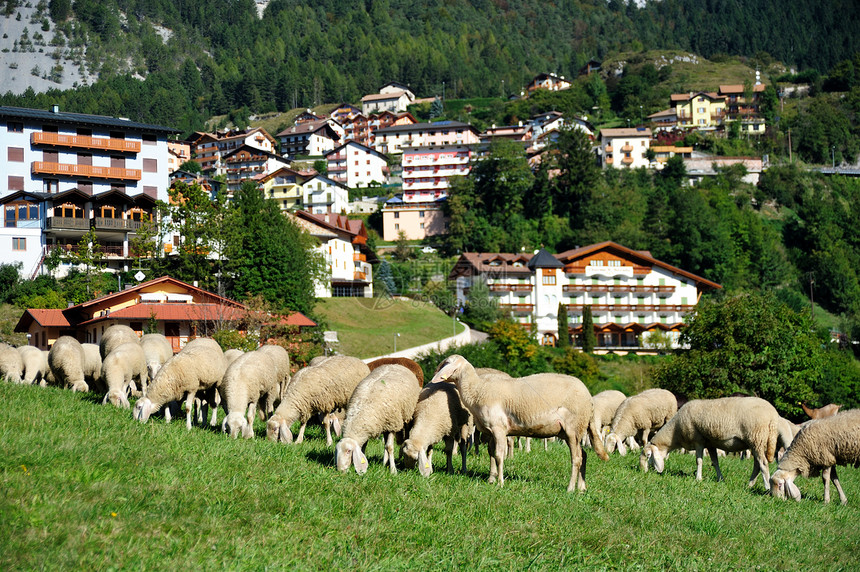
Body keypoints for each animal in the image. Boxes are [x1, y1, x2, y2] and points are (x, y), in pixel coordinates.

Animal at [428, 354, 604, 492]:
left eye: (446, 362)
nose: (434, 376)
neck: (477, 390)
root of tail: (589, 398)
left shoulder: (499, 428)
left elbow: (499, 455)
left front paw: (500, 483)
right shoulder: (490, 431)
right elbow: (491, 453)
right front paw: (491, 478)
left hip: (573, 428)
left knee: (577, 458)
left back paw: (570, 488)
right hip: (576, 430)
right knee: (584, 455)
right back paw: (582, 487)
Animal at [640, 398, 780, 488]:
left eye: (648, 455)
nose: (644, 472)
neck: (676, 431)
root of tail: (773, 415)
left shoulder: (698, 441)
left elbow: (699, 460)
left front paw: (698, 478)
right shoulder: (711, 444)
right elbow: (715, 462)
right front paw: (720, 479)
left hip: (757, 438)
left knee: (763, 464)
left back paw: (767, 488)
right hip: (756, 443)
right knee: (757, 465)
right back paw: (750, 485)